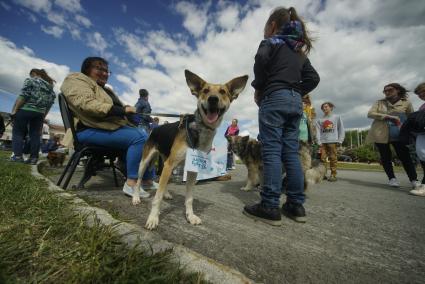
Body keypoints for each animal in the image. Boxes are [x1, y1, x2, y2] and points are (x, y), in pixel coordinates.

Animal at [133, 70, 248, 230]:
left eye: (223, 92)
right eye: (205, 91)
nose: (213, 99)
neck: (200, 129)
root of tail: (156, 128)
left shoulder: (192, 169)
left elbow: (189, 198)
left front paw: (190, 216)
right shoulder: (170, 164)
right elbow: (157, 197)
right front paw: (153, 218)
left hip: (167, 163)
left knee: (163, 179)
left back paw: (167, 194)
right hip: (146, 162)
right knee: (138, 180)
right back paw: (136, 197)